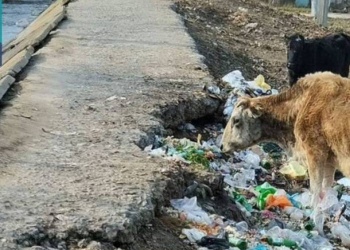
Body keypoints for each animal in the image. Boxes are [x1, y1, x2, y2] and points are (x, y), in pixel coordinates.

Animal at [221, 72, 350, 205]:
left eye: (236, 120)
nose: (221, 145)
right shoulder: (330, 160)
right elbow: (325, 190)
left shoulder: (315, 152)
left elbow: (315, 189)